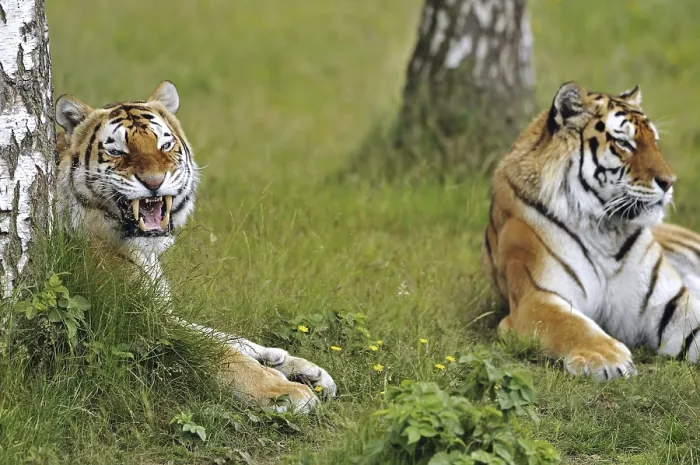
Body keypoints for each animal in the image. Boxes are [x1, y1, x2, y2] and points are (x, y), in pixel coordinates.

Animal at [54, 81, 336, 411]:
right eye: (116, 151)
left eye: (164, 146)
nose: (154, 181)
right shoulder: (132, 319)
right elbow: (219, 352)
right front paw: (284, 390)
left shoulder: (158, 309)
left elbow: (220, 335)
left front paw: (301, 368)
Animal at [483, 81, 700, 381]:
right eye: (624, 143)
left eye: (655, 142)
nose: (669, 182)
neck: (606, 230)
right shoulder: (535, 295)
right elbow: (571, 323)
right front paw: (606, 358)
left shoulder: (668, 302)